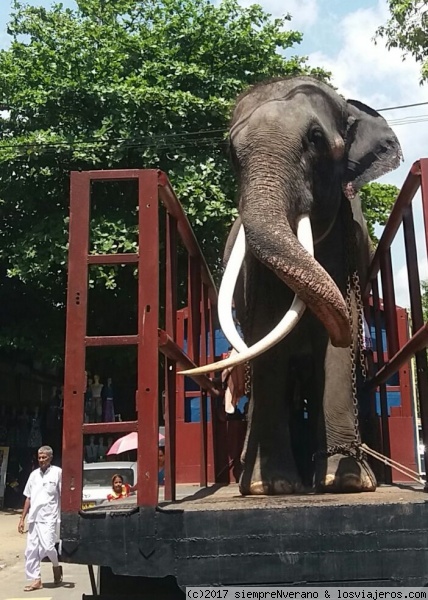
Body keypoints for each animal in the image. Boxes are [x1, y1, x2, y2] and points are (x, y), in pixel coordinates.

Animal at [181, 75, 402, 494]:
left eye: (315, 138)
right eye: (231, 151)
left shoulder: (347, 247)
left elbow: (337, 345)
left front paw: (345, 481)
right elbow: (268, 337)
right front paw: (272, 486)